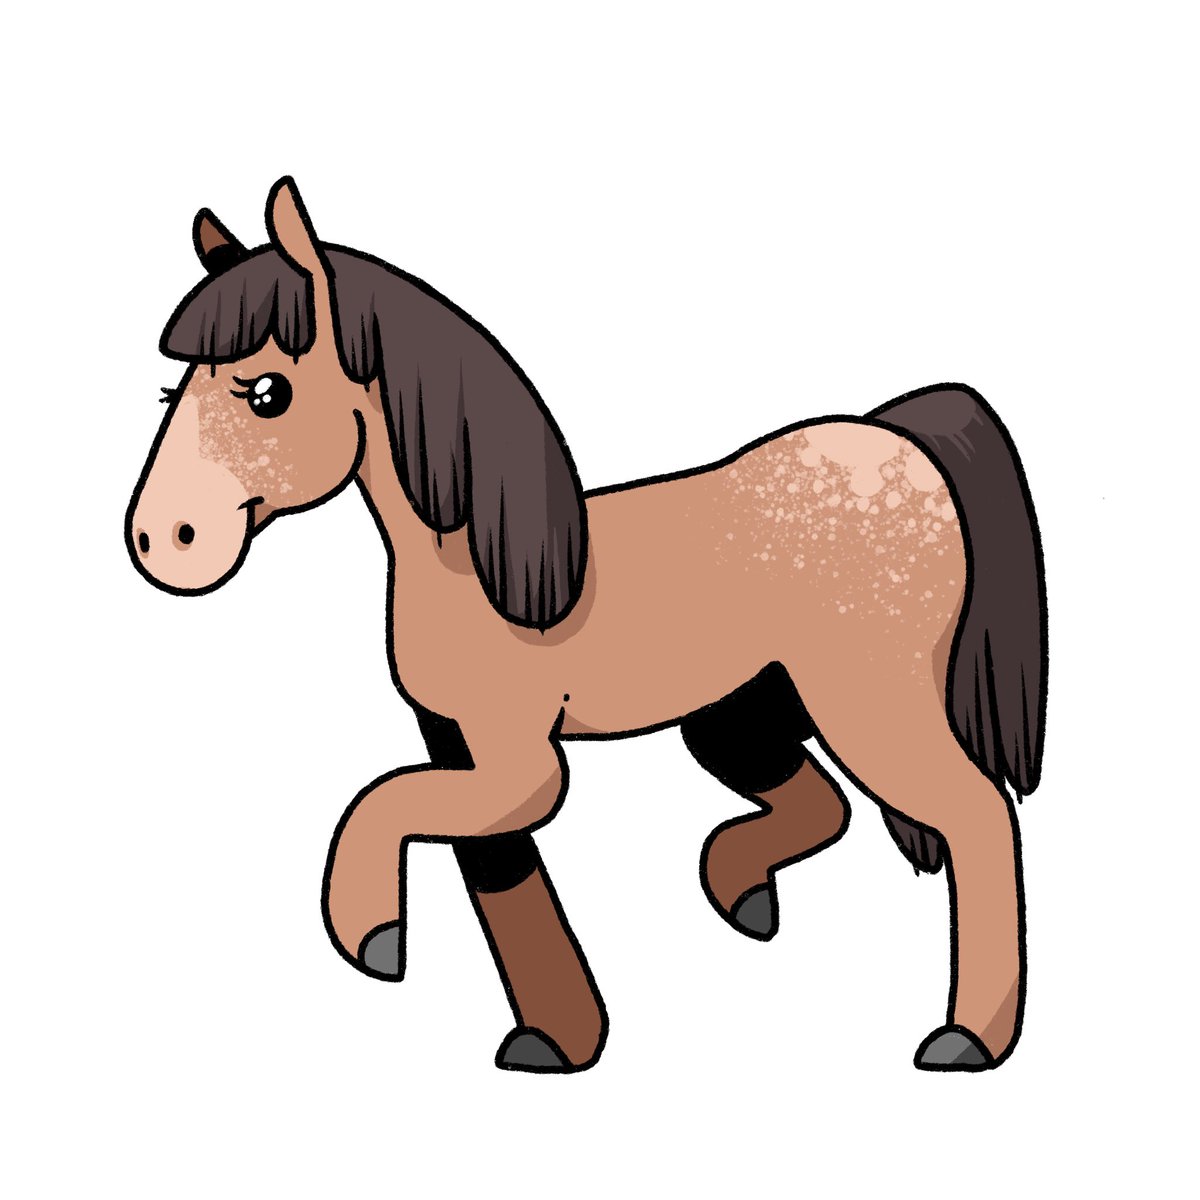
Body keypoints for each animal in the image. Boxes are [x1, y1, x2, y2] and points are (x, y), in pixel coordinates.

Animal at [127, 178, 1047, 1073]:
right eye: (174, 391)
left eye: (267, 392)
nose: (160, 541)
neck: (480, 562)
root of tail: (902, 440)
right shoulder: (454, 738)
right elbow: (495, 867)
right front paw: (559, 1039)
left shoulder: (521, 759)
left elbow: (385, 802)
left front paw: (372, 934)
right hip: (744, 706)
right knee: (822, 802)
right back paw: (741, 890)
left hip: (867, 701)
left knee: (976, 814)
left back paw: (969, 1039)